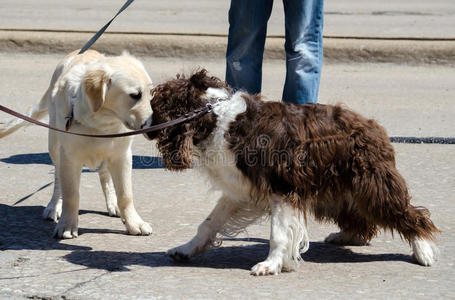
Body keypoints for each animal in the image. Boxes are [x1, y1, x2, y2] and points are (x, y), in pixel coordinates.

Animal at [0, 49, 154, 239]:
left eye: (151, 94)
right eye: (135, 95)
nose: (154, 129)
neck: (101, 122)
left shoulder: (122, 155)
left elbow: (126, 195)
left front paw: (134, 223)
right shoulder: (70, 158)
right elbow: (71, 195)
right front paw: (67, 225)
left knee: (105, 175)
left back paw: (112, 203)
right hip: (54, 145)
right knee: (58, 180)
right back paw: (54, 206)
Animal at [148, 69, 440, 274]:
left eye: (156, 107)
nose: (145, 124)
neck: (216, 117)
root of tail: (373, 126)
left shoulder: (282, 188)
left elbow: (278, 234)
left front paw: (271, 265)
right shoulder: (240, 190)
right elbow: (208, 224)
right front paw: (185, 250)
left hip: (372, 183)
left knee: (409, 214)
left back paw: (423, 250)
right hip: (337, 189)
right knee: (360, 217)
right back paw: (347, 235)